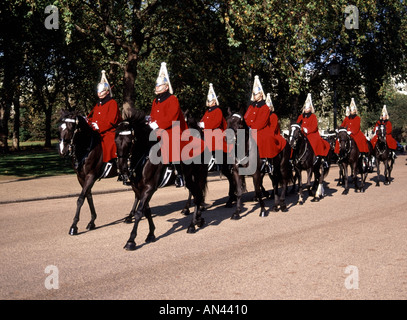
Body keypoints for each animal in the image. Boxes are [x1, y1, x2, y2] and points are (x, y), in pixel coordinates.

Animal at [116, 107, 209, 250]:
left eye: (129, 141)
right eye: (116, 141)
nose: (122, 169)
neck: (145, 156)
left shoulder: (149, 188)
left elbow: (140, 212)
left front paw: (131, 240)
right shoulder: (138, 188)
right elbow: (146, 210)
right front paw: (151, 233)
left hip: (197, 176)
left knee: (198, 196)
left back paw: (192, 224)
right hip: (190, 179)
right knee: (197, 195)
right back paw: (197, 219)